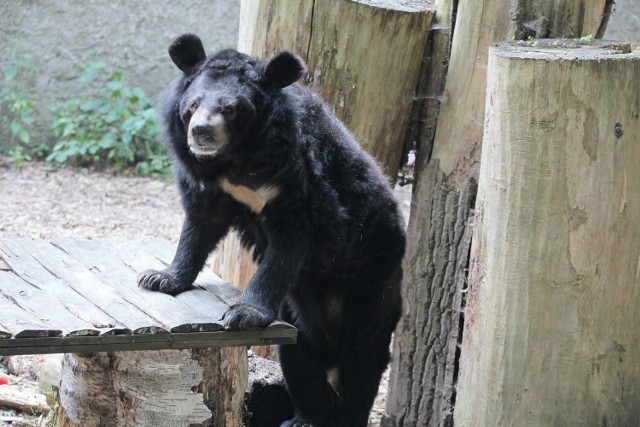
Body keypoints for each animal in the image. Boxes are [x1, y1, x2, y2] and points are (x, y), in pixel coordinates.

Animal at [138, 34, 408, 427]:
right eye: (193, 105)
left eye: (230, 110)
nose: (200, 132)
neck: (238, 159)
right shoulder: (211, 187)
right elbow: (199, 226)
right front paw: (160, 278)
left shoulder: (300, 184)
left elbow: (284, 252)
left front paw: (243, 314)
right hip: (300, 311)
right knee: (300, 354)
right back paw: (305, 417)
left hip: (372, 278)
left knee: (362, 357)